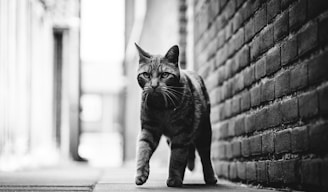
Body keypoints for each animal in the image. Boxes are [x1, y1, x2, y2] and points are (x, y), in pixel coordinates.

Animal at [135, 44, 217, 188]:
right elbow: (143, 149)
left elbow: (176, 158)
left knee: (205, 156)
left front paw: (174, 179)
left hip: (205, 132)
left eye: (164, 75)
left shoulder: (182, 132)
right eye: (146, 75)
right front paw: (141, 174)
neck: (161, 107)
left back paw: (210, 177)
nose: (154, 85)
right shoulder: (148, 129)